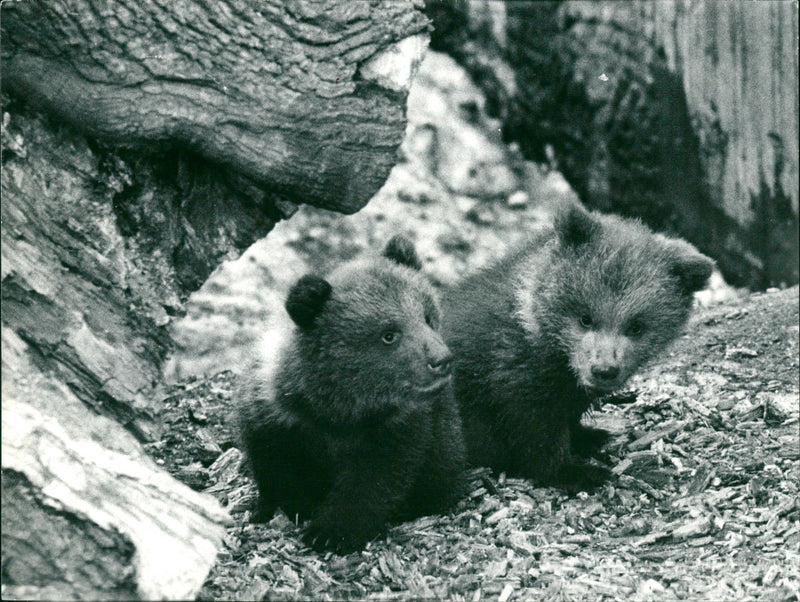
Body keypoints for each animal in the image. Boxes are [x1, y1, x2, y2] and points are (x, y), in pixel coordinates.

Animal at [235, 235, 467, 553]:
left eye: (427, 317)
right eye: (389, 334)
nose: (441, 360)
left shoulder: (397, 428)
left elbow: (372, 481)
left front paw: (329, 531)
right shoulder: (277, 418)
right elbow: (278, 469)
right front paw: (294, 509)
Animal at [441, 203, 714, 490]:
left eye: (636, 326)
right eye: (585, 318)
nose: (604, 370)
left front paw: (589, 436)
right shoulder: (513, 381)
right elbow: (537, 437)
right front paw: (576, 471)